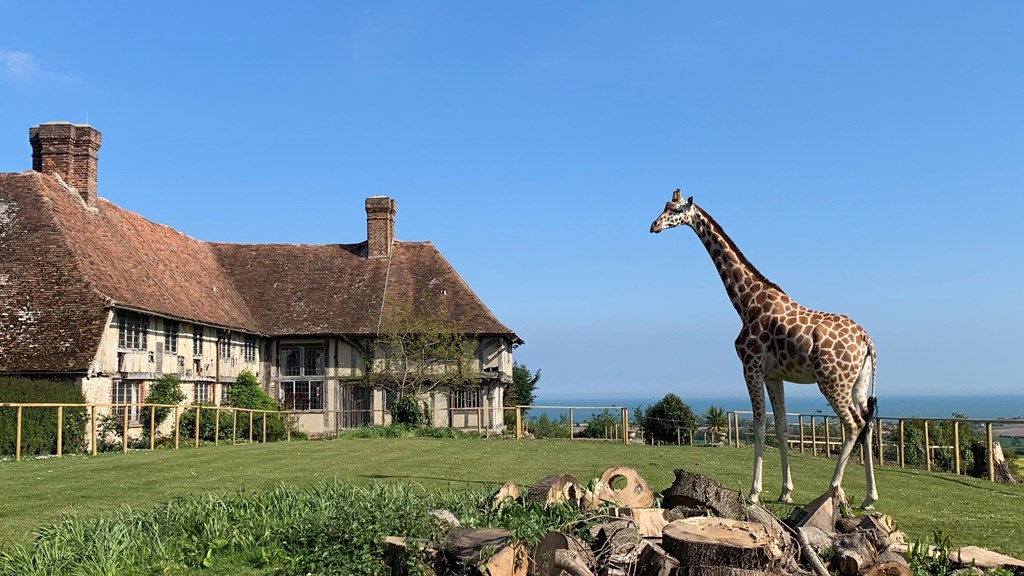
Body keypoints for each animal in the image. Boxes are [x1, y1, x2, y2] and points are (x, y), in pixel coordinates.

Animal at [650, 189, 878, 509]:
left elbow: (759, 426)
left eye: (675, 210)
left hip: (832, 381)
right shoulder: (774, 375)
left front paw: (755, 493)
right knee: (868, 424)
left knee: (853, 425)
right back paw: (869, 498)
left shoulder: (751, 366)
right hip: (858, 382)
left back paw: (834, 489)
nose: (654, 226)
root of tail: (866, 340)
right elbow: (780, 427)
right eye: (664, 206)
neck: (746, 303)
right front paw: (785, 491)